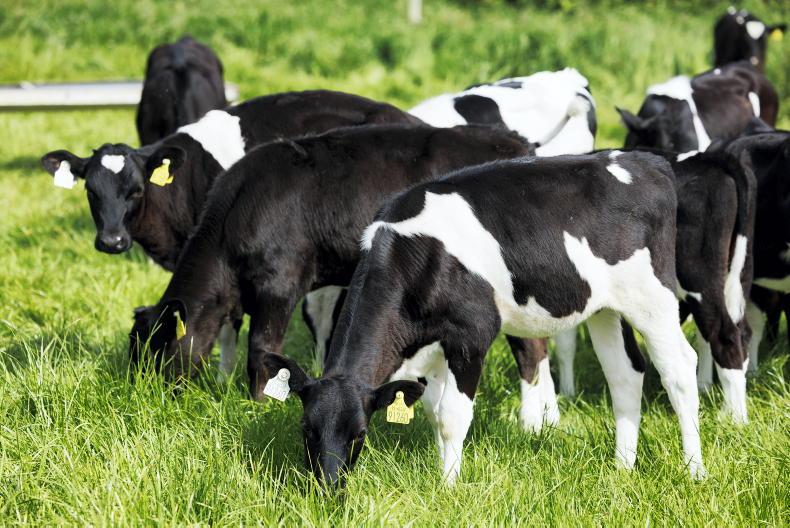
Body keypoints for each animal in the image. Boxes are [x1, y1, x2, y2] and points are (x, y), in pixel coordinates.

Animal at [127, 124, 542, 414]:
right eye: (134, 351)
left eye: (159, 349)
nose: (141, 397)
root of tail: (513, 141)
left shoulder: (280, 284)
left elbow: (262, 351)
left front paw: (257, 405)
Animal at [261, 150, 706, 486]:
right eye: (306, 430)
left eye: (360, 434)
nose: (328, 486)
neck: (414, 254)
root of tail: (643, 160)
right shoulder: (432, 345)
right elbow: (432, 410)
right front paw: (443, 467)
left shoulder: (470, 334)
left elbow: (452, 416)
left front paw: (447, 487)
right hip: (606, 308)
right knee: (625, 374)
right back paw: (622, 467)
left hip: (653, 298)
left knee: (679, 370)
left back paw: (694, 470)